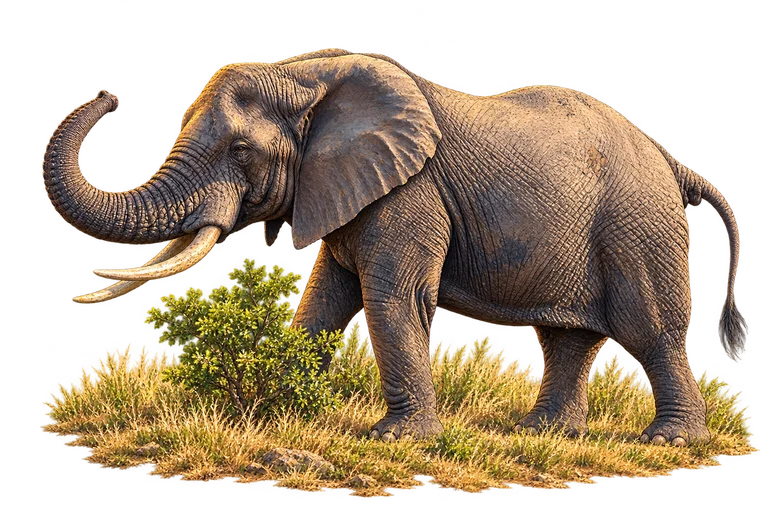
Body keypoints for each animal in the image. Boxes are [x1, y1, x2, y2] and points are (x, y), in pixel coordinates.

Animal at [40, 48, 749, 446]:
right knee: (566, 338)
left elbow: (390, 300)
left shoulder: (411, 192)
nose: (111, 95)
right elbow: (323, 302)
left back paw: (667, 444)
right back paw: (542, 433)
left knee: (648, 329)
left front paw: (397, 440)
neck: (308, 76)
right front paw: (267, 415)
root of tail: (670, 161)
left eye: (239, 151)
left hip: (638, 226)